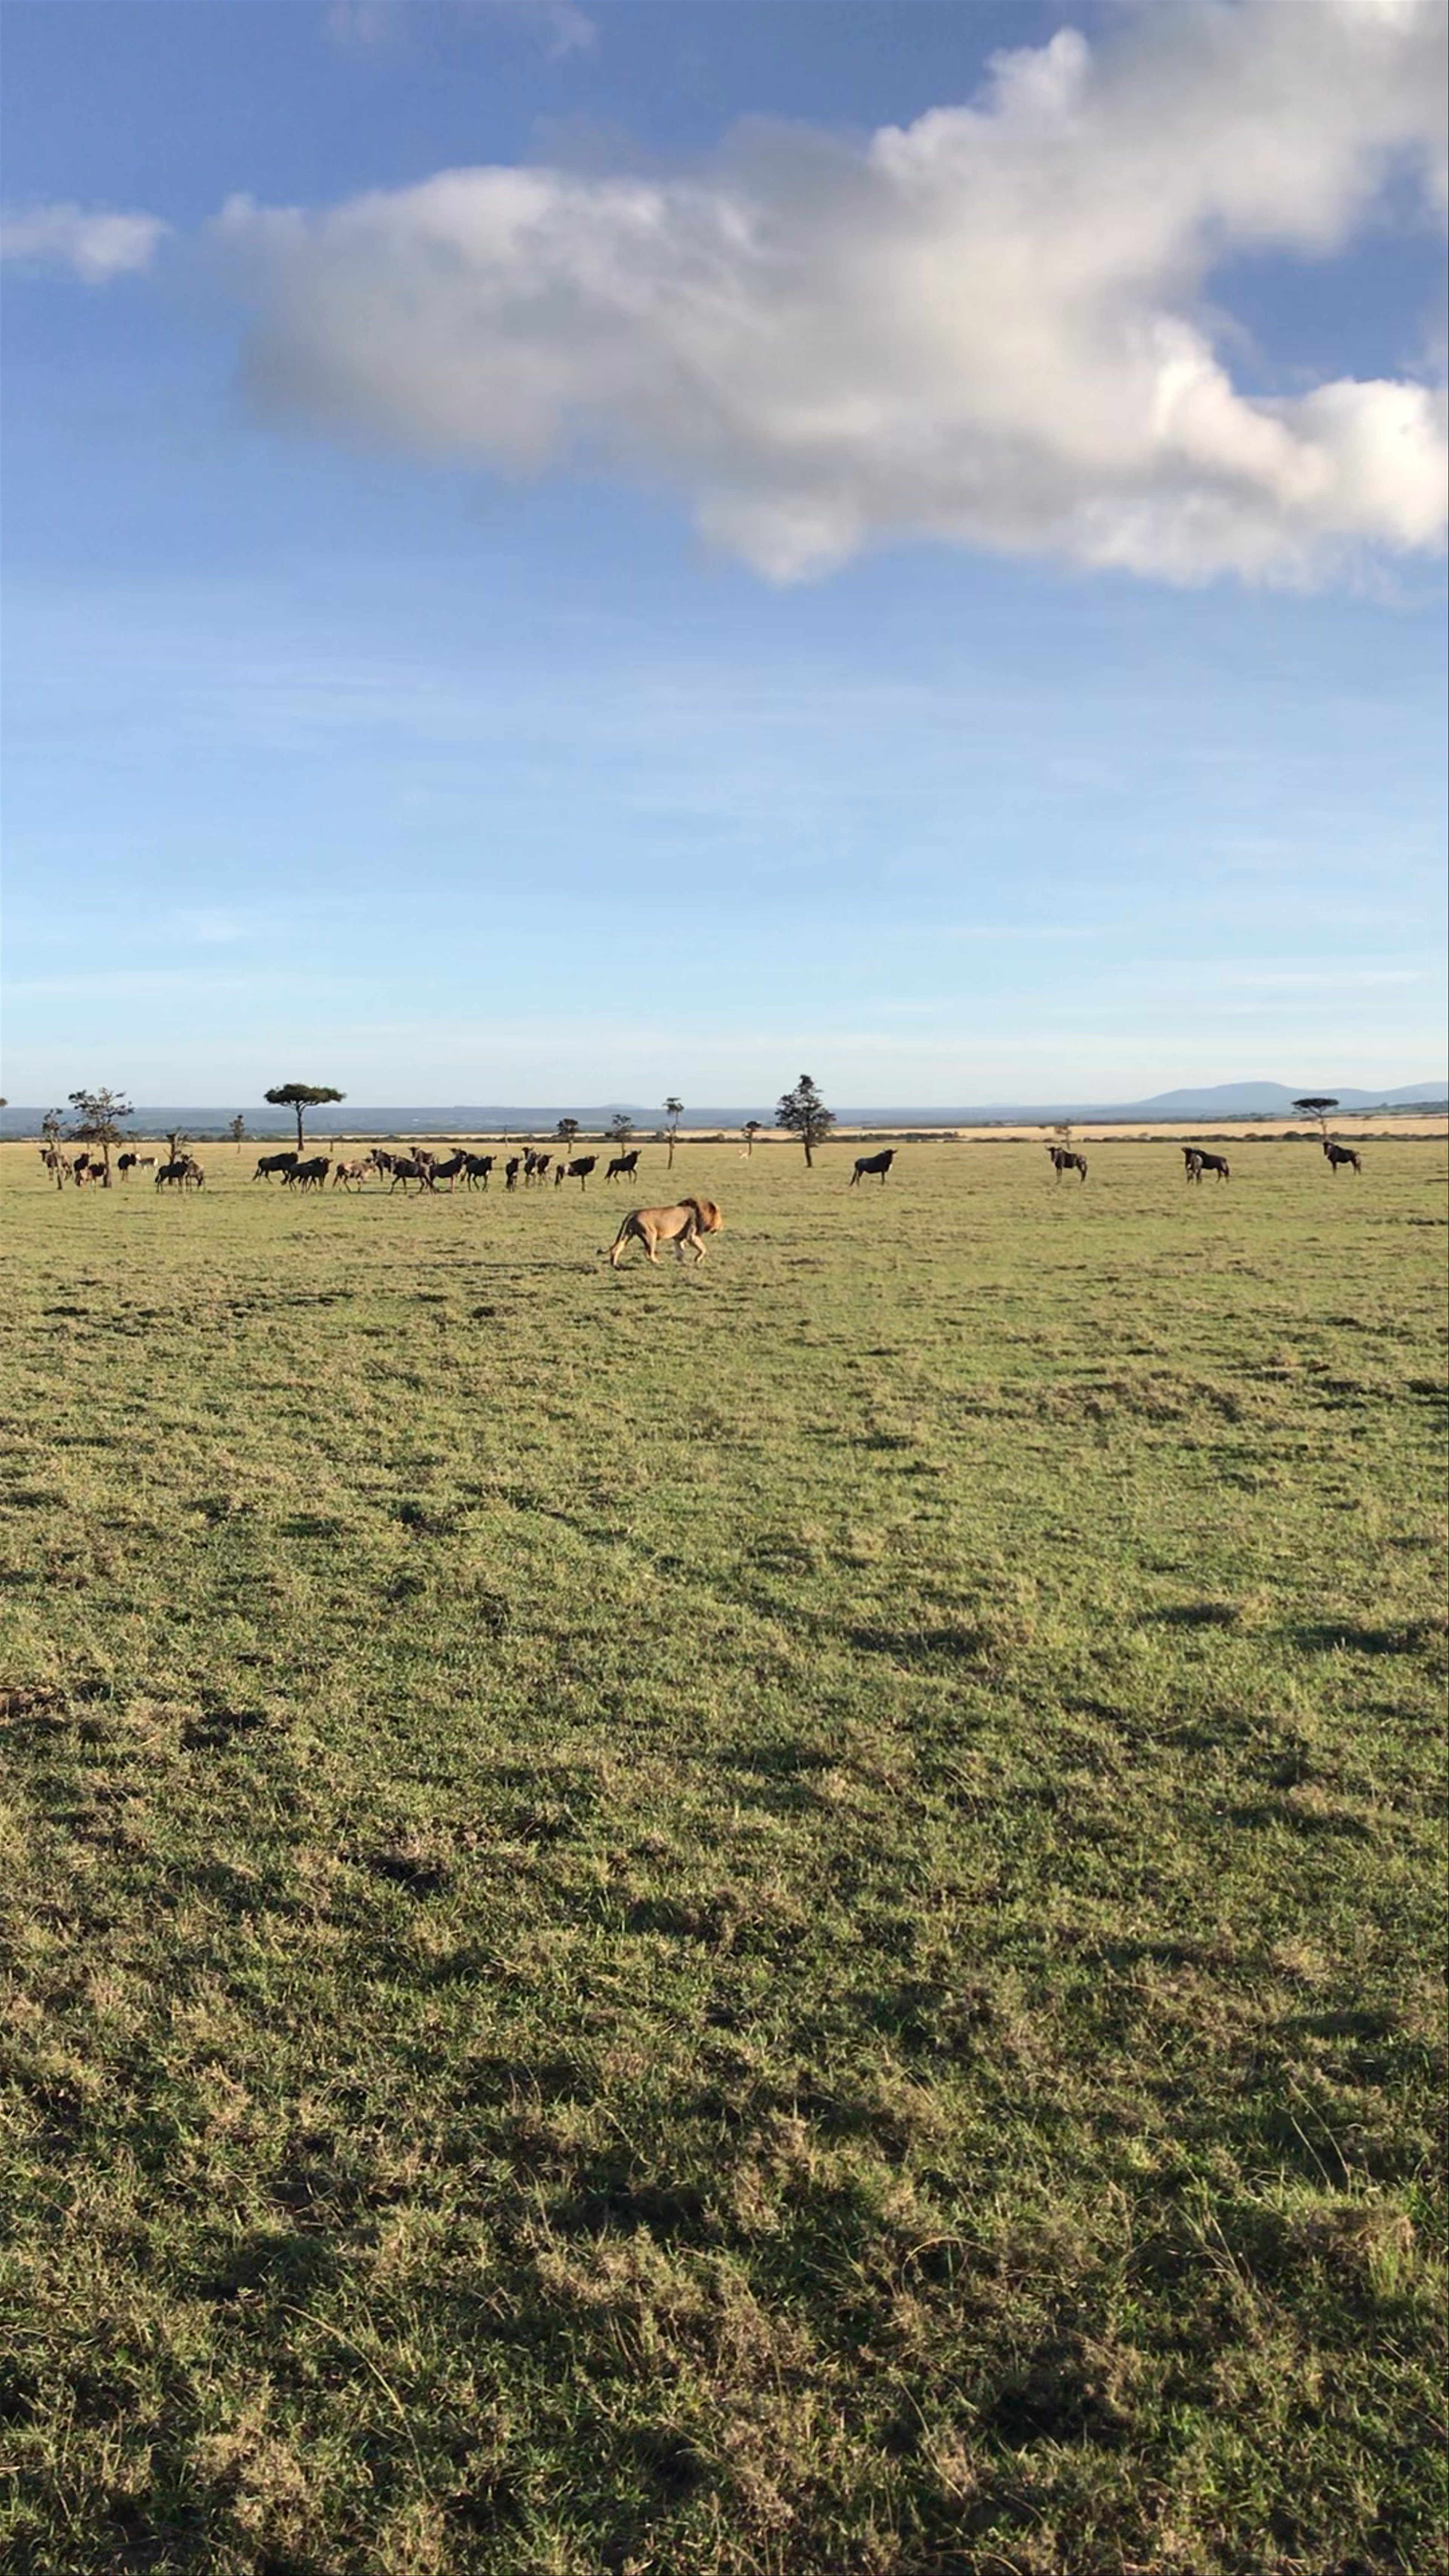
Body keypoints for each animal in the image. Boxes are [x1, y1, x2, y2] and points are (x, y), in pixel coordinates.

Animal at [606, 1197, 723, 1268]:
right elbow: (703, 1249)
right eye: (720, 1218)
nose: (722, 1226)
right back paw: (659, 1263)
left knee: (617, 1249)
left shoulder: (678, 1238)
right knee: (649, 1254)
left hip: (628, 1234)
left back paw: (615, 1265)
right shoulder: (692, 1236)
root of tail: (633, 1213)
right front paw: (697, 1260)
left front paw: (683, 1262)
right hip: (651, 1236)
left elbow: (681, 1252)